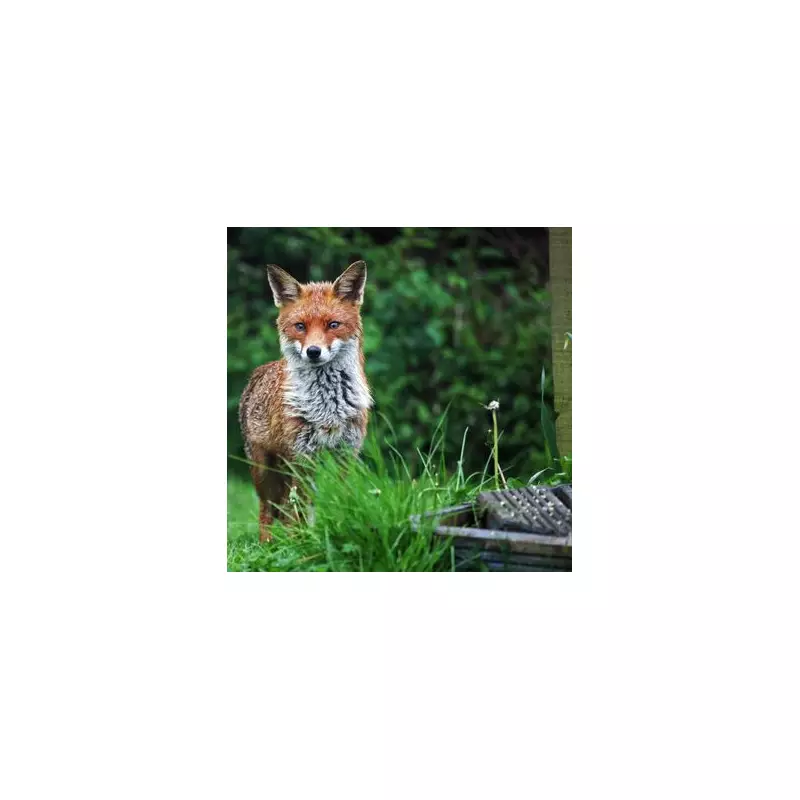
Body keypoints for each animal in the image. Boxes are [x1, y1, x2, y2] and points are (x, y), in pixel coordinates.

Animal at [238, 261, 372, 542]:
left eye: (333, 324)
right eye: (300, 326)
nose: (313, 352)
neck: (328, 407)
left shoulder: (346, 453)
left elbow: (341, 498)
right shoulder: (302, 455)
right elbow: (295, 511)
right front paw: (299, 544)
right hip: (264, 470)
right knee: (267, 510)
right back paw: (267, 545)